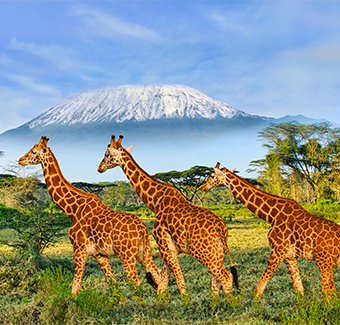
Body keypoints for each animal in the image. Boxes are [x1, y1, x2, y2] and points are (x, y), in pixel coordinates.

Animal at [17, 135, 161, 300]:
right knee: (157, 274)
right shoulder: (99, 255)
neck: (73, 210)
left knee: (136, 284)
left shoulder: (79, 249)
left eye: (33, 152)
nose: (20, 159)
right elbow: (113, 287)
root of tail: (142, 228)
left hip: (126, 254)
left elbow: (75, 289)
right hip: (143, 251)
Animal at [97, 134, 242, 304]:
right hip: (217, 250)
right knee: (217, 278)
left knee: (226, 276)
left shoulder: (165, 247)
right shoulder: (166, 247)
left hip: (202, 251)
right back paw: (214, 304)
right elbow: (163, 281)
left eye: (107, 154)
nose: (99, 168)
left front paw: (185, 303)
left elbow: (177, 280)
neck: (155, 202)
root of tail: (221, 228)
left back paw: (232, 304)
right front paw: (164, 302)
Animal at [201, 161, 340, 298]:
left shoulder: (277, 251)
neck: (272, 215)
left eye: (212, 176)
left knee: (329, 290)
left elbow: (259, 289)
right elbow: (298, 289)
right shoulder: (290, 256)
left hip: (324, 261)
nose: (203, 187)